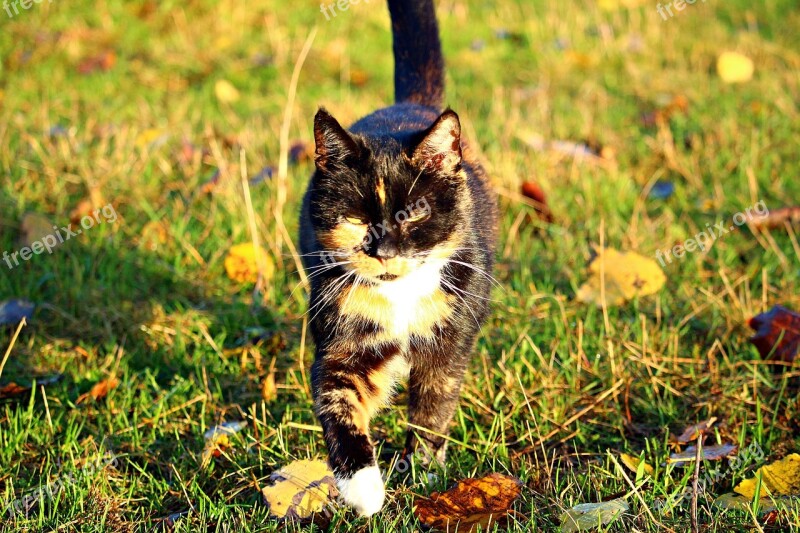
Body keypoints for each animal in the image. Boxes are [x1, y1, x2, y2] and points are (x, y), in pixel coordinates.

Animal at [300, 0, 496, 516]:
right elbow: (338, 401)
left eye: (415, 213)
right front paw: (365, 489)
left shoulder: (450, 337)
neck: (401, 296)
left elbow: (434, 404)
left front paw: (423, 468)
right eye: (356, 218)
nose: (385, 251)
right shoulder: (344, 335)